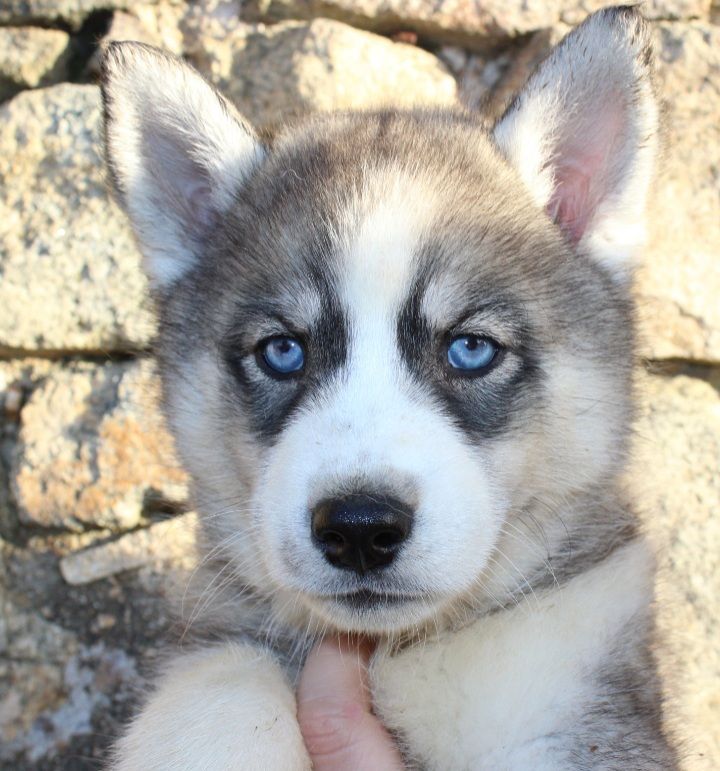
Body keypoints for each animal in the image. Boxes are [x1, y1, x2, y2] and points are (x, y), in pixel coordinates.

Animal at [102, 7, 680, 771]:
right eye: (282, 351)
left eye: (470, 348)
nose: (359, 527)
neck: (390, 655)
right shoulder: (226, 638)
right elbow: (220, 690)